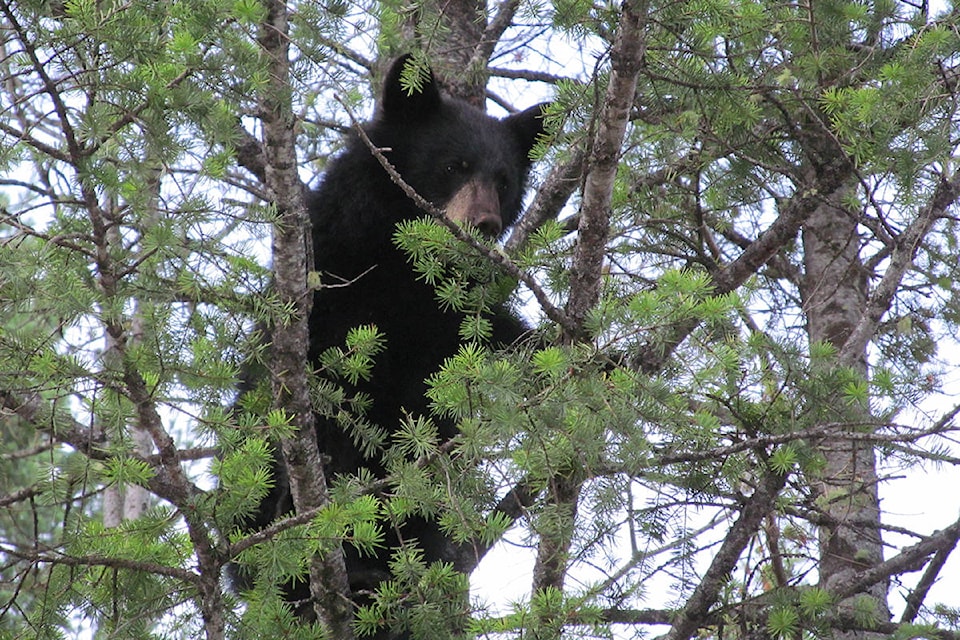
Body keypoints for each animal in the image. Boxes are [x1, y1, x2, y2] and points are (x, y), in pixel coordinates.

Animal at [236, 56, 548, 636]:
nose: (485, 224)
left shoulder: (445, 313)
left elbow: (491, 339)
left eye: (504, 181)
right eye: (454, 165)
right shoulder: (336, 277)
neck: (401, 263)